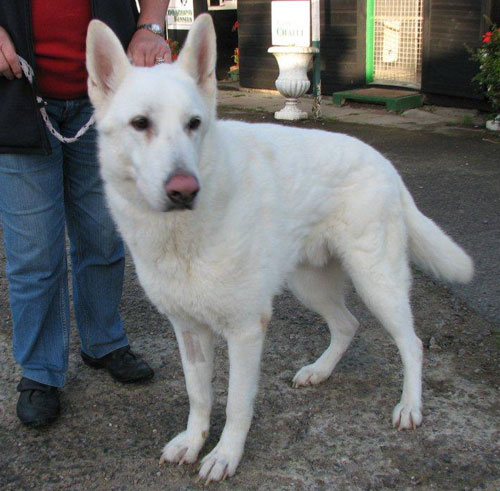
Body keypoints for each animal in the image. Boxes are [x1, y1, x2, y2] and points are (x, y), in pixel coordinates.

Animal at [85, 13, 472, 482]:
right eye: (140, 123)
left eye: (194, 124)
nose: (184, 190)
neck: (181, 234)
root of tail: (385, 164)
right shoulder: (189, 331)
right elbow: (199, 397)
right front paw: (194, 442)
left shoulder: (246, 330)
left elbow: (236, 405)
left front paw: (225, 455)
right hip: (310, 285)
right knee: (348, 325)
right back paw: (320, 371)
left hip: (377, 282)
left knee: (411, 344)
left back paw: (410, 406)